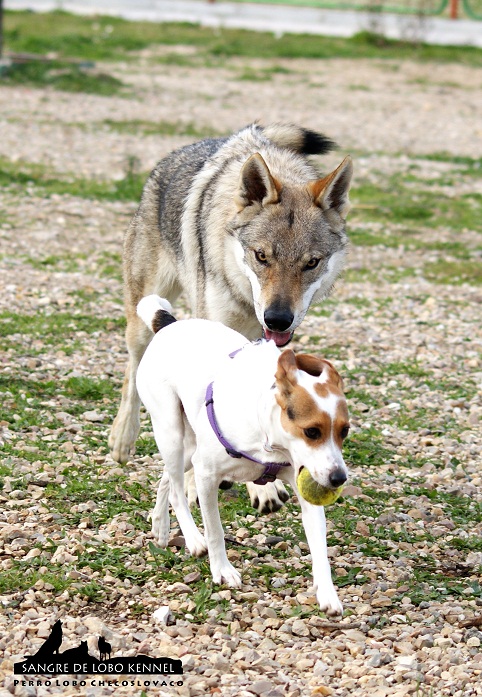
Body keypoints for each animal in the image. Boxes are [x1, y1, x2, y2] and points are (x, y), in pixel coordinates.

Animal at [136, 294, 350, 616]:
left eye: (344, 431)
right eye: (312, 431)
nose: (338, 478)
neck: (268, 437)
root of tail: (168, 323)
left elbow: (319, 549)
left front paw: (327, 593)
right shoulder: (207, 475)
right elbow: (215, 531)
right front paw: (222, 570)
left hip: (189, 447)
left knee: (166, 480)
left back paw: (160, 528)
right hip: (171, 433)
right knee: (175, 489)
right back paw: (193, 539)